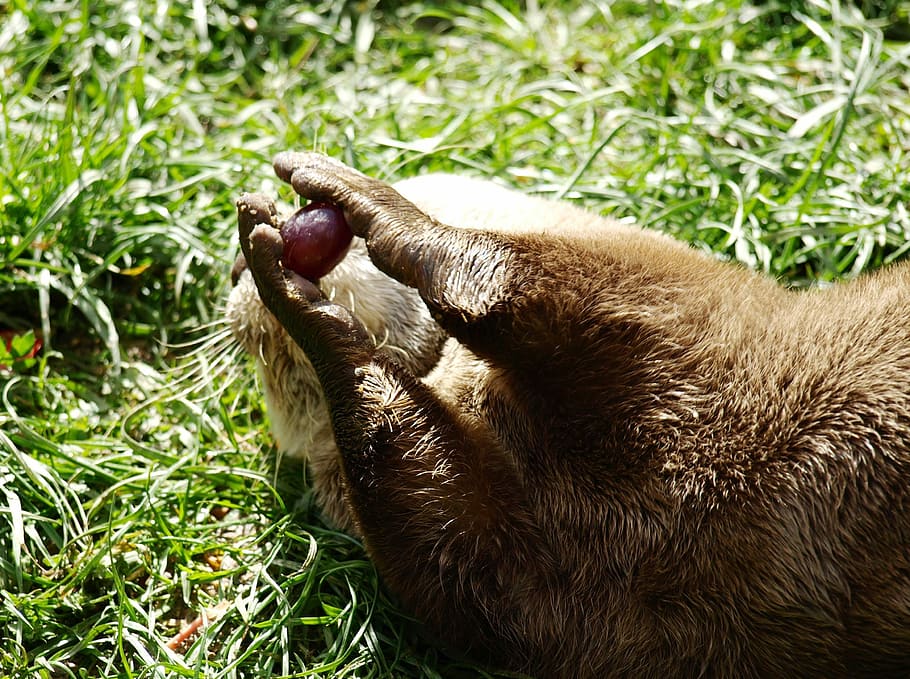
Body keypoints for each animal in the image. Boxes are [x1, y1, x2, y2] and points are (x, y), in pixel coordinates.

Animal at [227, 151, 910, 678]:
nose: (234, 271)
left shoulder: (682, 302)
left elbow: (521, 281)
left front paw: (363, 204)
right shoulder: (559, 604)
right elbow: (449, 543)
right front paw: (297, 298)